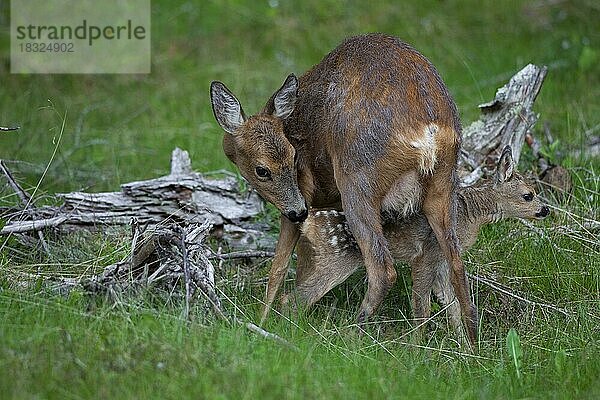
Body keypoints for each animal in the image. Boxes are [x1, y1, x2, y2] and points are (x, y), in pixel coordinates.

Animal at [211, 32, 478, 344]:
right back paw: (471, 345)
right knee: (457, 263)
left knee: (383, 269)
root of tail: (429, 130)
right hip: (443, 184)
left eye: (292, 159)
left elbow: (280, 266)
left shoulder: (304, 197)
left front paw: (262, 321)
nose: (298, 211)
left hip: (357, 180)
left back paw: (351, 334)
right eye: (263, 170)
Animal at [290, 145, 548, 336]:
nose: (545, 210)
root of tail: (308, 219)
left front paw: (464, 348)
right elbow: (422, 306)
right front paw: (419, 350)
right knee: (294, 298)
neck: (470, 213)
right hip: (337, 258)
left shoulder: (442, 259)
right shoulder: (427, 252)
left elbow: (451, 303)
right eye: (528, 195)